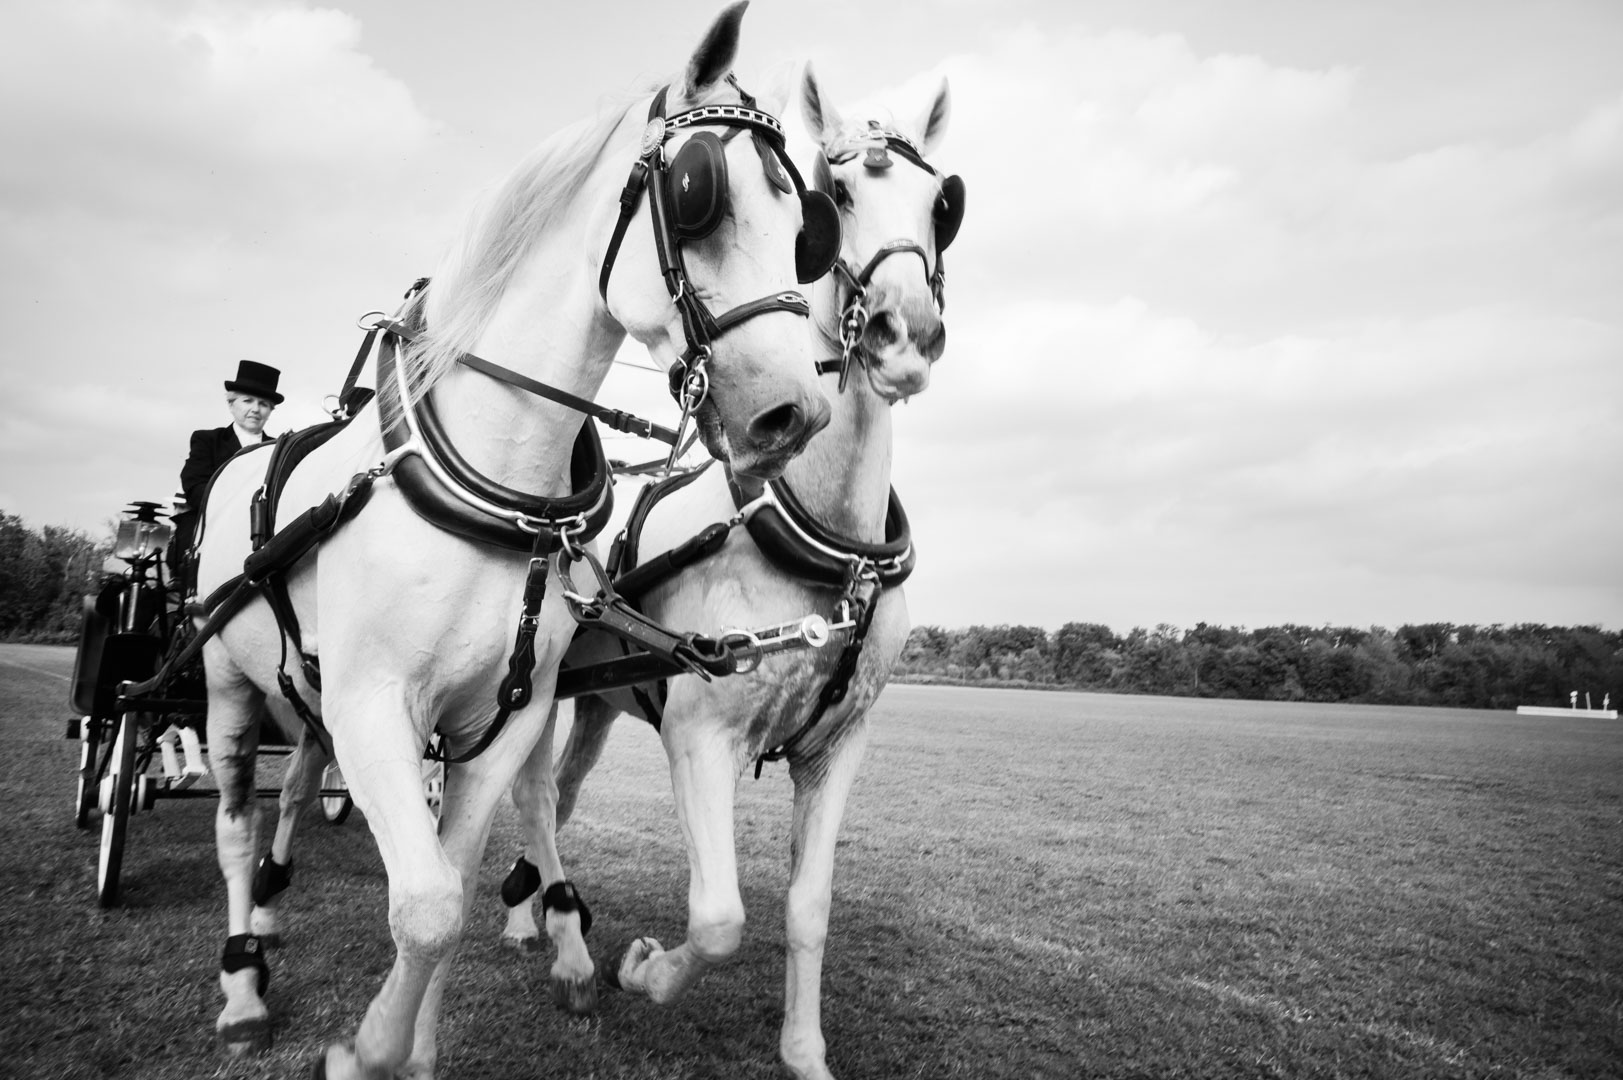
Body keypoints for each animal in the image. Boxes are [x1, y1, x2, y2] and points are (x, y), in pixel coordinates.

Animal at [193, 4, 837, 1071]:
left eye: (806, 232)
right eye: (697, 192)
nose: (796, 414)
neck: (502, 489)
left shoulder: (501, 720)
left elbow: (449, 895)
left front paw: (411, 1049)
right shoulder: (374, 706)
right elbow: (422, 905)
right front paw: (364, 1051)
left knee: (291, 802)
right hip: (229, 690)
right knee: (239, 824)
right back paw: (245, 976)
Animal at [503, 65, 960, 1078]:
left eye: (942, 204)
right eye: (833, 198)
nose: (905, 336)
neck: (823, 536)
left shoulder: (838, 744)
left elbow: (805, 909)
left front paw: (802, 1051)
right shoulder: (697, 733)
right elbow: (717, 919)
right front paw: (641, 971)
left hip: (599, 700)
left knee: (559, 792)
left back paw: (533, 915)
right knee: (528, 790)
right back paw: (548, 933)